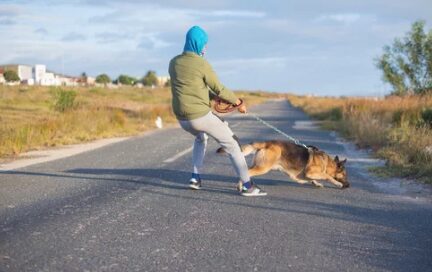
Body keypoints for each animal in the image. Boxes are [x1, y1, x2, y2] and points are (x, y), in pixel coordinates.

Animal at [218, 140, 350, 189]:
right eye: (344, 175)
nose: (349, 185)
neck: (328, 163)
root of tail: (267, 143)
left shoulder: (307, 175)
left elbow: (312, 179)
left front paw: (316, 183)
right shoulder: (311, 172)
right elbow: (327, 176)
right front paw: (337, 183)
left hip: (257, 165)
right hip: (263, 168)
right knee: (246, 173)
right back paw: (240, 185)